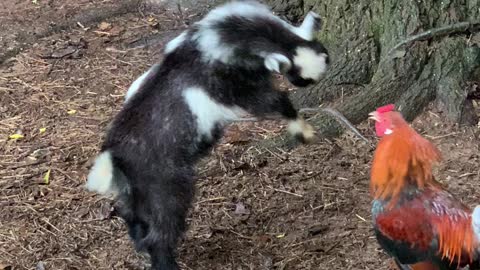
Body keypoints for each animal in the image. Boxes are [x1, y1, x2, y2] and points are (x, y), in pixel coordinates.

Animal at [86, 1, 330, 268]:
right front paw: (304, 132)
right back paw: (166, 262)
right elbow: (279, 102)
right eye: (297, 74)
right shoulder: (238, 91)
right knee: (160, 233)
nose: (307, 82)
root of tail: (114, 155)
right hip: (167, 190)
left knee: (133, 218)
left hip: (136, 194)